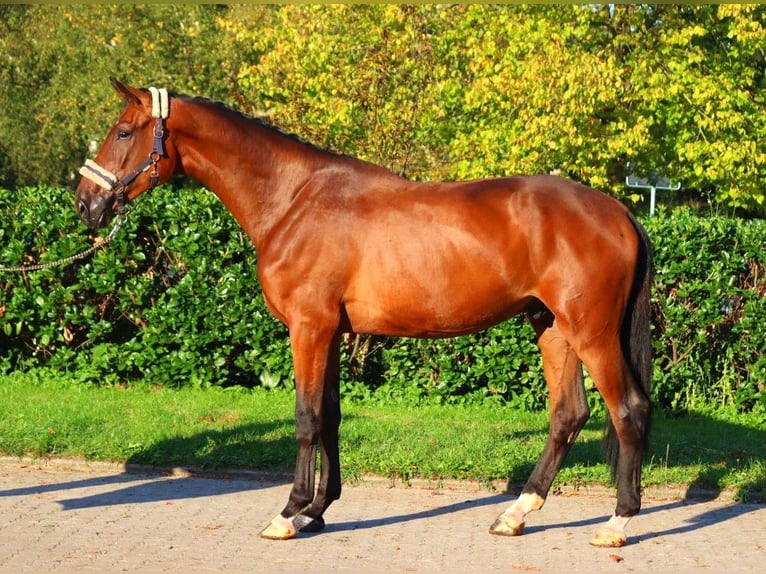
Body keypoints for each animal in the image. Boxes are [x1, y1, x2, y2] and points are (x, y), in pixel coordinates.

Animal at [73, 80, 656, 548]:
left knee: (627, 411)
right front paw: (316, 511)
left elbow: (306, 419)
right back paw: (515, 515)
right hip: (552, 327)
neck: (293, 199)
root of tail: (618, 211)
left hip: (592, 333)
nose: (84, 204)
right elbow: (329, 416)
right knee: (568, 415)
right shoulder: (332, 332)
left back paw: (616, 523)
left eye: (123, 132)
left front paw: (288, 514)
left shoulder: (308, 328)